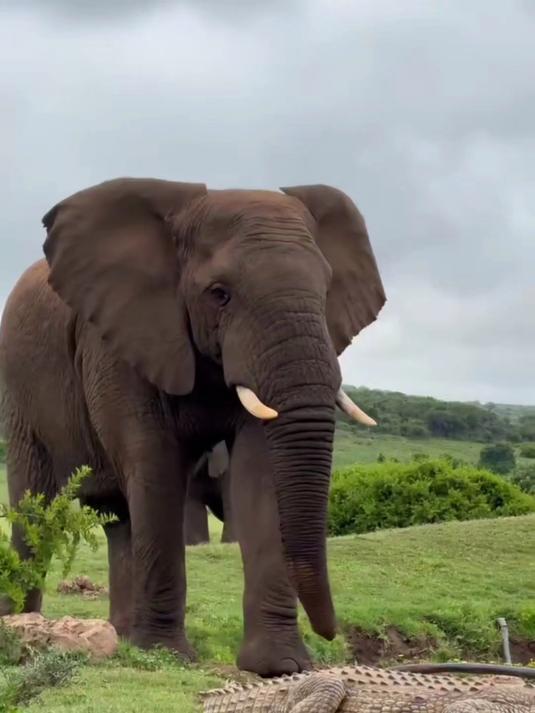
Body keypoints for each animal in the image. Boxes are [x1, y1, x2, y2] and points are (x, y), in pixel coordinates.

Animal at [0, 178, 385, 676]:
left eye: (326, 289)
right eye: (219, 294)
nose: (332, 635)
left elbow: (259, 473)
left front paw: (279, 665)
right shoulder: (118, 340)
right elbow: (157, 466)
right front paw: (166, 655)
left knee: (119, 520)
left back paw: (120, 637)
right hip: (19, 391)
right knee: (33, 509)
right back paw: (23, 626)